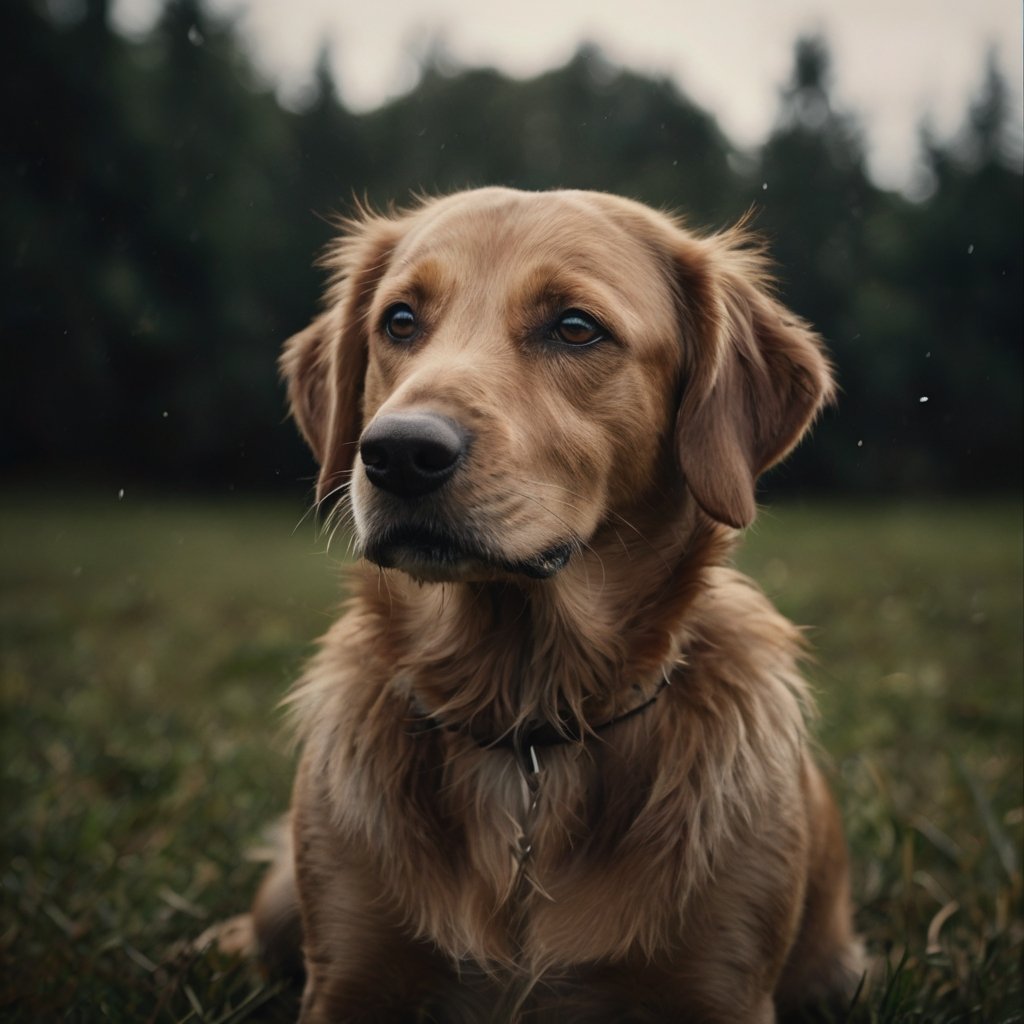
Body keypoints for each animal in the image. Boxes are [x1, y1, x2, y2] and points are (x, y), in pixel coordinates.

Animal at [251, 188, 860, 1019]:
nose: (398, 452)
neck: (525, 725)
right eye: (399, 321)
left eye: (575, 327)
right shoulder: (346, 981)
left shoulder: (722, 987)